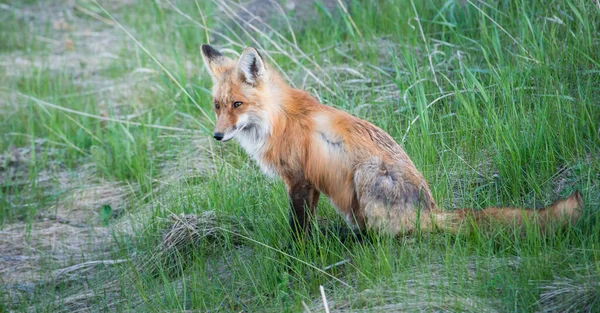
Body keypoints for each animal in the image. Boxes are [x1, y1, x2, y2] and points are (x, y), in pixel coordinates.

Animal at [200, 43, 580, 234]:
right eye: (218, 106)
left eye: (238, 105)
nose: (218, 135)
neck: (278, 120)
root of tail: (430, 209)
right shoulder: (308, 184)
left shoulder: (300, 181)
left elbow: (298, 230)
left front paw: (296, 258)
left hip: (366, 173)